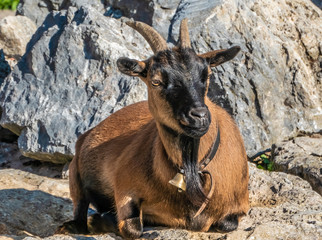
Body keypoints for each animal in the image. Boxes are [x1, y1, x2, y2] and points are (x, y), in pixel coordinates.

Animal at [56, 18, 249, 238]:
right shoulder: (124, 186)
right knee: (80, 210)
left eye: (206, 74)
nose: (199, 116)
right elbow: (131, 227)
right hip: (75, 174)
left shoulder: (240, 205)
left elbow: (227, 223)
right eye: (156, 81)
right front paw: (104, 219)